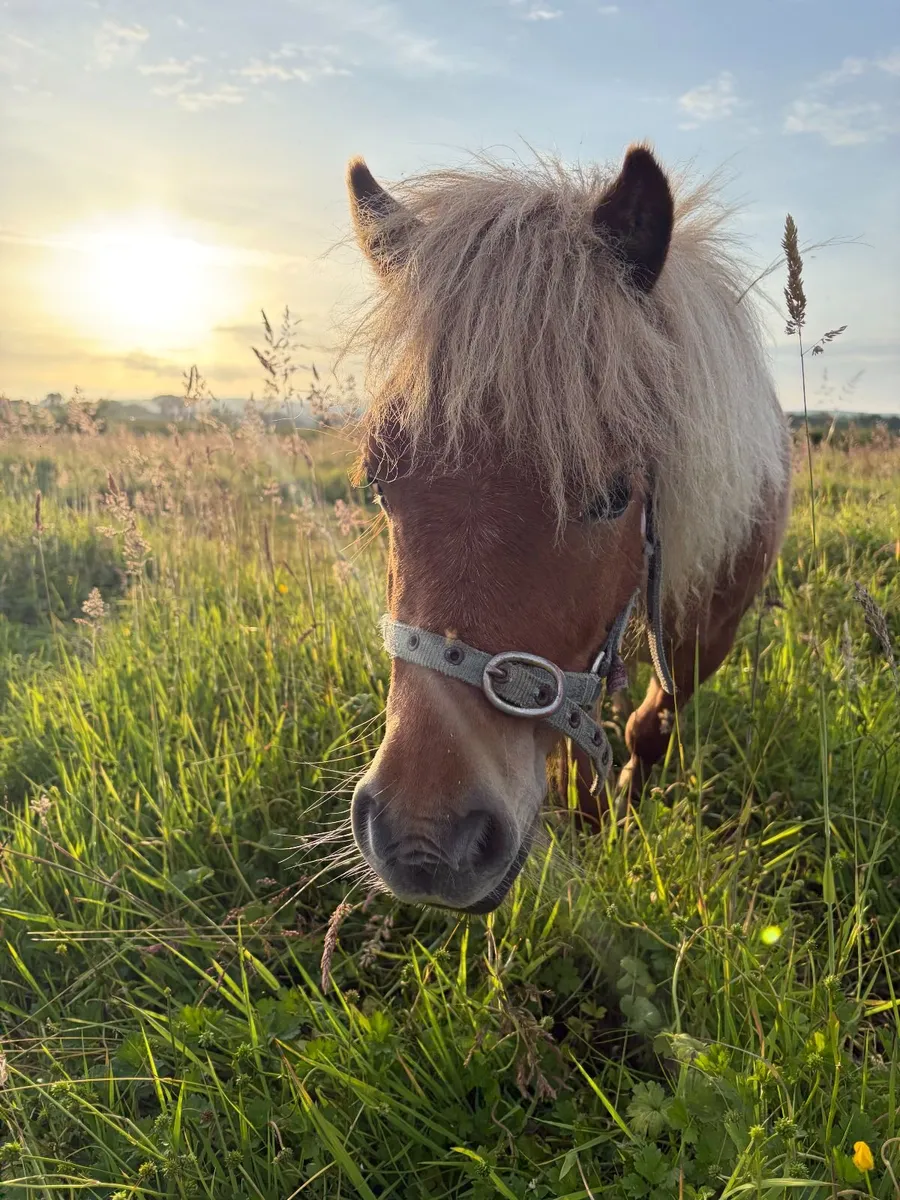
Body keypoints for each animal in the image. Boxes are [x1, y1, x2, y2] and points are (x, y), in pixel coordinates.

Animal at [344, 143, 792, 915]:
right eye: (379, 480)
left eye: (613, 496)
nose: (423, 842)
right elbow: (575, 741)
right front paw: (587, 817)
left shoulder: (707, 637)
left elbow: (650, 728)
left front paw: (621, 814)